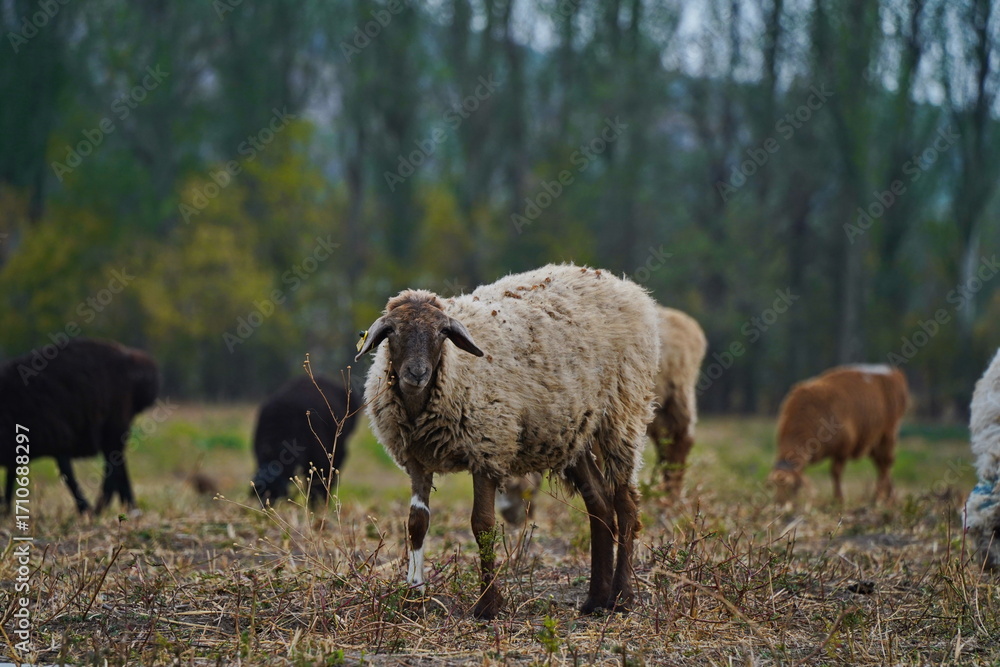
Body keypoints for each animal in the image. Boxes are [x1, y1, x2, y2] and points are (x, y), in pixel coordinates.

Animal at [0, 338, 159, 514]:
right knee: (118, 465)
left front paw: (85, 509)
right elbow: (11, 477)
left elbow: (67, 475)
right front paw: (6, 510)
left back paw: (104, 508)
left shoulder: (59, 438)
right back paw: (127, 507)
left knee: (113, 466)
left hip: (114, 423)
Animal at [356, 264, 659, 619]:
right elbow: (416, 524)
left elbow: (483, 525)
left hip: (622, 414)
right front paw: (413, 596)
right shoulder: (418, 461)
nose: (417, 373)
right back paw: (595, 600)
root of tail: (626, 286)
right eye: (392, 331)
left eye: (442, 332)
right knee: (599, 504)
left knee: (626, 506)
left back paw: (621, 597)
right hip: (577, 433)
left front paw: (488, 605)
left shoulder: (487, 447)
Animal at [768, 364, 908, 504]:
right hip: (873, 441)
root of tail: (894, 373)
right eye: (772, 486)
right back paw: (890, 497)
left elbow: (836, 472)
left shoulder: (843, 449)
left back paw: (877, 498)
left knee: (886, 463)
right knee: (881, 464)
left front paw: (838, 499)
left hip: (888, 435)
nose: (779, 502)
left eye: (791, 486)